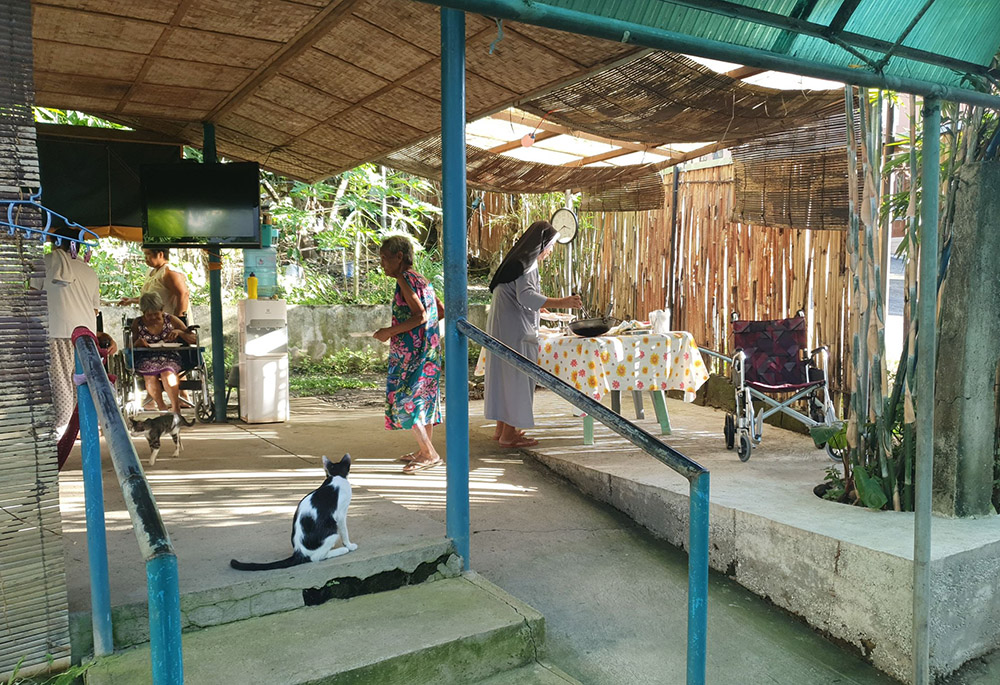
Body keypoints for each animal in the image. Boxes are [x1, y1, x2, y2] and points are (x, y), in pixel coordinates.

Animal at [231, 454, 360, 572]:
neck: (336, 476)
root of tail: (299, 552)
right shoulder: (341, 514)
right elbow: (344, 532)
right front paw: (349, 545)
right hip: (332, 529)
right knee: (316, 557)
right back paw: (341, 550)